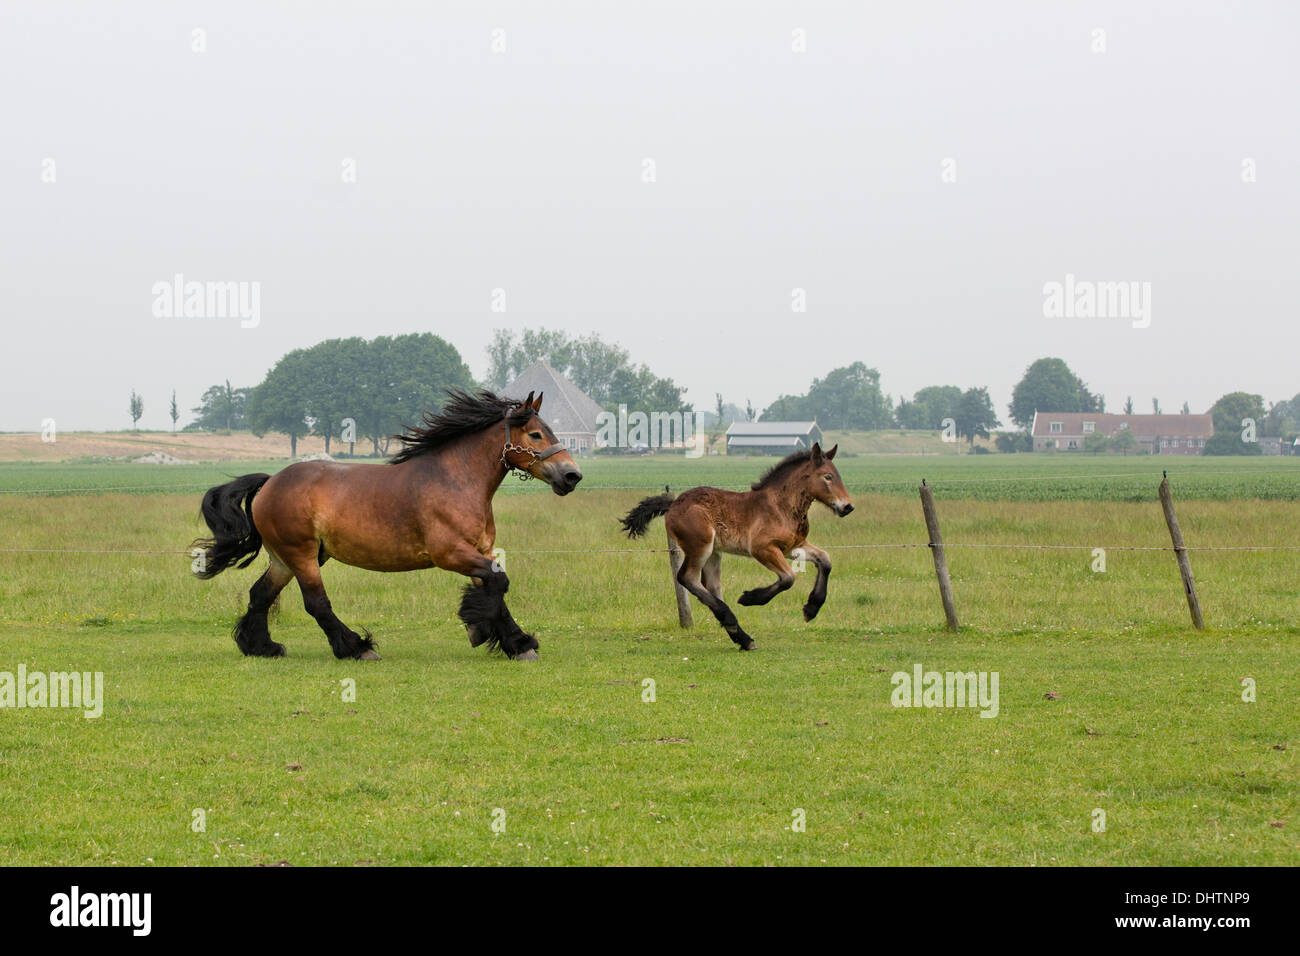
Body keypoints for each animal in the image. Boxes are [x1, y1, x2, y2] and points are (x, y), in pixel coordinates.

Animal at [191, 390, 579, 658]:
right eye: (535, 435)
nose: (572, 475)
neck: (456, 481)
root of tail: (271, 482)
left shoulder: (478, 551)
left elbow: (495, 588)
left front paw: (512, 640)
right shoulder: (450, 553)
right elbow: (498, 582)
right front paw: (486, 632)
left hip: (286, 559)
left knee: (260, 594)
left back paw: (261, 647)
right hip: (301, 555)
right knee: (316, 603)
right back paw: (356, 648)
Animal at [618, 444, 852, 655]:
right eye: (828, 477)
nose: (848, 507)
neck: (781, 506)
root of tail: (674, 504)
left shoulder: (791, 546)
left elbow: (825, 560)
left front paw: (811, 608)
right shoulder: (762, 548)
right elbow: (788, 578)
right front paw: (749, 598)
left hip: (714, 553)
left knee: (710, 585)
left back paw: (741, 637)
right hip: (701, 546)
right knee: (687, 577)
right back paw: (734, 624)